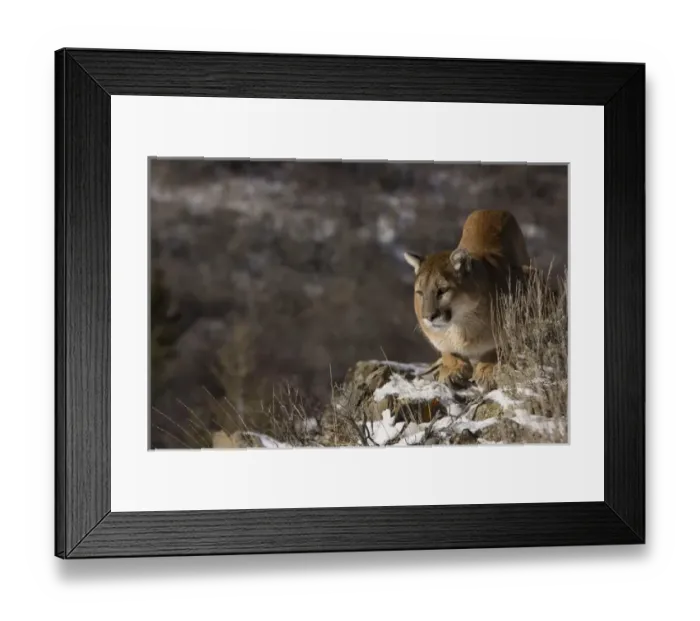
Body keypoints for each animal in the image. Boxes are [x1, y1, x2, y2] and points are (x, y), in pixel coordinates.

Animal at [403, 209, 530, 392]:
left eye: (442, 290)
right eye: (420, 292)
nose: (428, 317)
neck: (460, 326)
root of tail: (492, 209)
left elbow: (496, 348)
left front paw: (487, 371)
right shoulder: (438, 337)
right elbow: (447, 350)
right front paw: (454, 370)